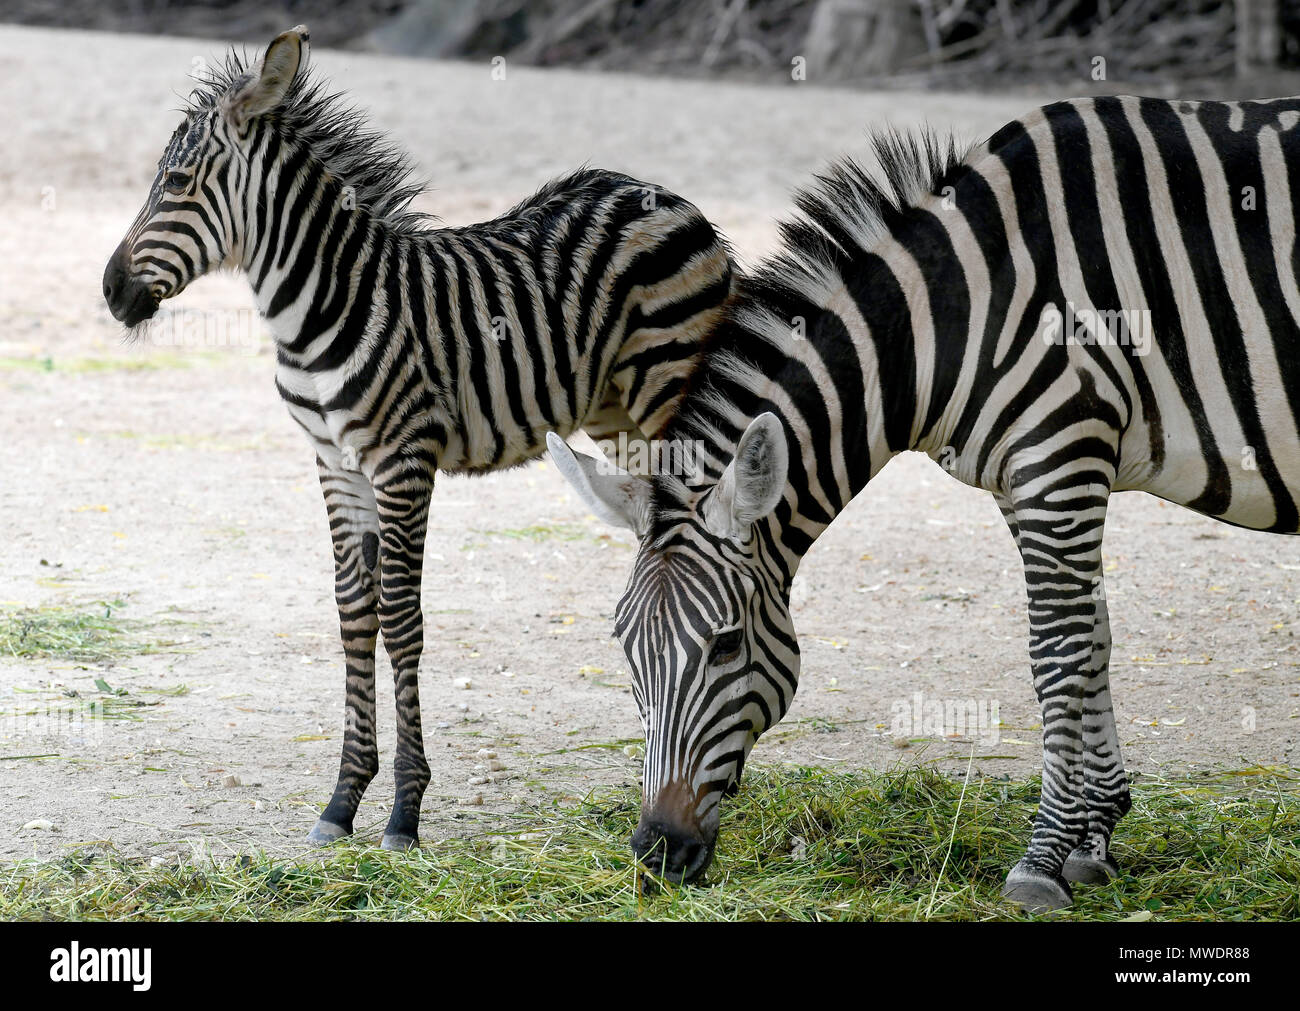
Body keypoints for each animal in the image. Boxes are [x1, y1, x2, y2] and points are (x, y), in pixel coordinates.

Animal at [102, 27, 738, 847]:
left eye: (178, 182)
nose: (111, 292)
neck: (319, 305)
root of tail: (663, 196)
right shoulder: (334, 463)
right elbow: (354, 615)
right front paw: (342, 800)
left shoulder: (403, 460)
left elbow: (402, 621)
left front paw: (404, 809)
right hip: (612, 412)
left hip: (668, 388)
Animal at [548, 98, 1300, 909]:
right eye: (624, 645)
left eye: (724, 644)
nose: (657, 854)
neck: (956, 313)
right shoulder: (1025, 478)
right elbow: (1093, 638)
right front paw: (1093, 837)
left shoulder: (1061, 451)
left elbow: (1057, 651)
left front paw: (1041, 859)